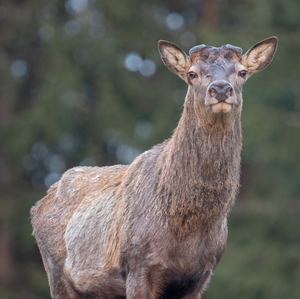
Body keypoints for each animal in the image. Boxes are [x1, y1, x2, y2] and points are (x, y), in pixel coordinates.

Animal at [30, 37, 276, 299]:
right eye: (192, 73)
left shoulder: (201, 275)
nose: (220, 90)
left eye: (242, 72)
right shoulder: (138, 264)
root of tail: (37, 206)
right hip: (56, 273)